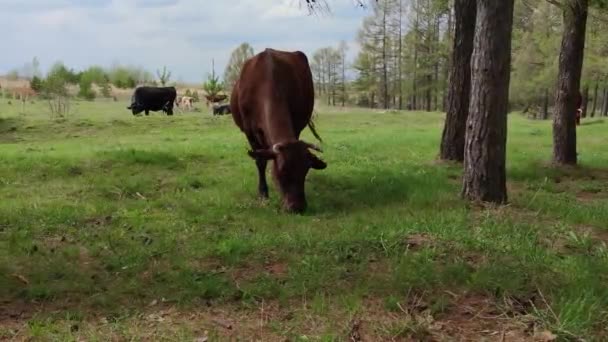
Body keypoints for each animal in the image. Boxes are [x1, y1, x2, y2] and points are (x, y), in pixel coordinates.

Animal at [229, 48, 326, 214]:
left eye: (305, 171)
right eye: (281, 173)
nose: (297, 207)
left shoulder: (297, 125)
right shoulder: (249, 132)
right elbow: (260, 161)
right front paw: (263, 193)